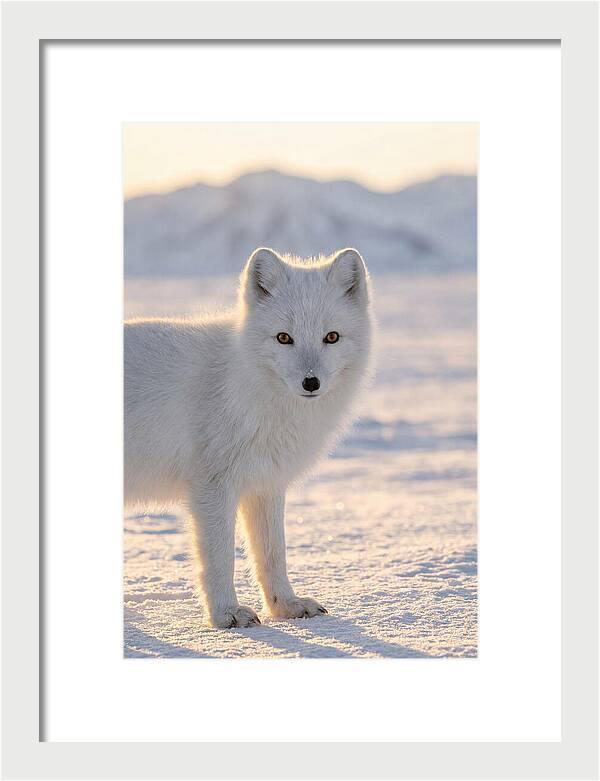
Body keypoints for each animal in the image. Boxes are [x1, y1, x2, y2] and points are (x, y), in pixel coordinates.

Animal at [124, 247, 373, 628]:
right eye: (284, 337)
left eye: (331, 337)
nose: (311, 382)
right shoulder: (212, 486)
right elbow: (220, 558)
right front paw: (226, 614)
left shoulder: (265, 484)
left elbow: (273, 554)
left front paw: (286, 606)